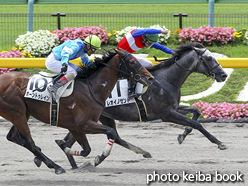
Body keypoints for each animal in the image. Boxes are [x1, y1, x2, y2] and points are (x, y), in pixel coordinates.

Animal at [0, 48, 153, 174]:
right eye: (132, 62)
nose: (150, 78)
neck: (91, 89)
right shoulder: (82, 124)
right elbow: (111, 133)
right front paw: (97, 157)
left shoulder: (74, 127)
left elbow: (87, 149)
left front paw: (66, 148)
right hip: (16, 113)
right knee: (28, 142)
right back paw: (56, 167)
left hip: (22, 113)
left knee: (13, 137)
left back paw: (42, 160)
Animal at [55, 42, 229, 169]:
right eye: (209, 58)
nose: (223, 75)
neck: (167, 80)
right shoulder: (166, 114)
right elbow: (197, 124)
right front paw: (219, 143)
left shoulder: (173, 108)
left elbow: (196, 111)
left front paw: (183, 135)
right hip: (90, 118)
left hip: (95, 117)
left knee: (70, 140)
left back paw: (76, 164)